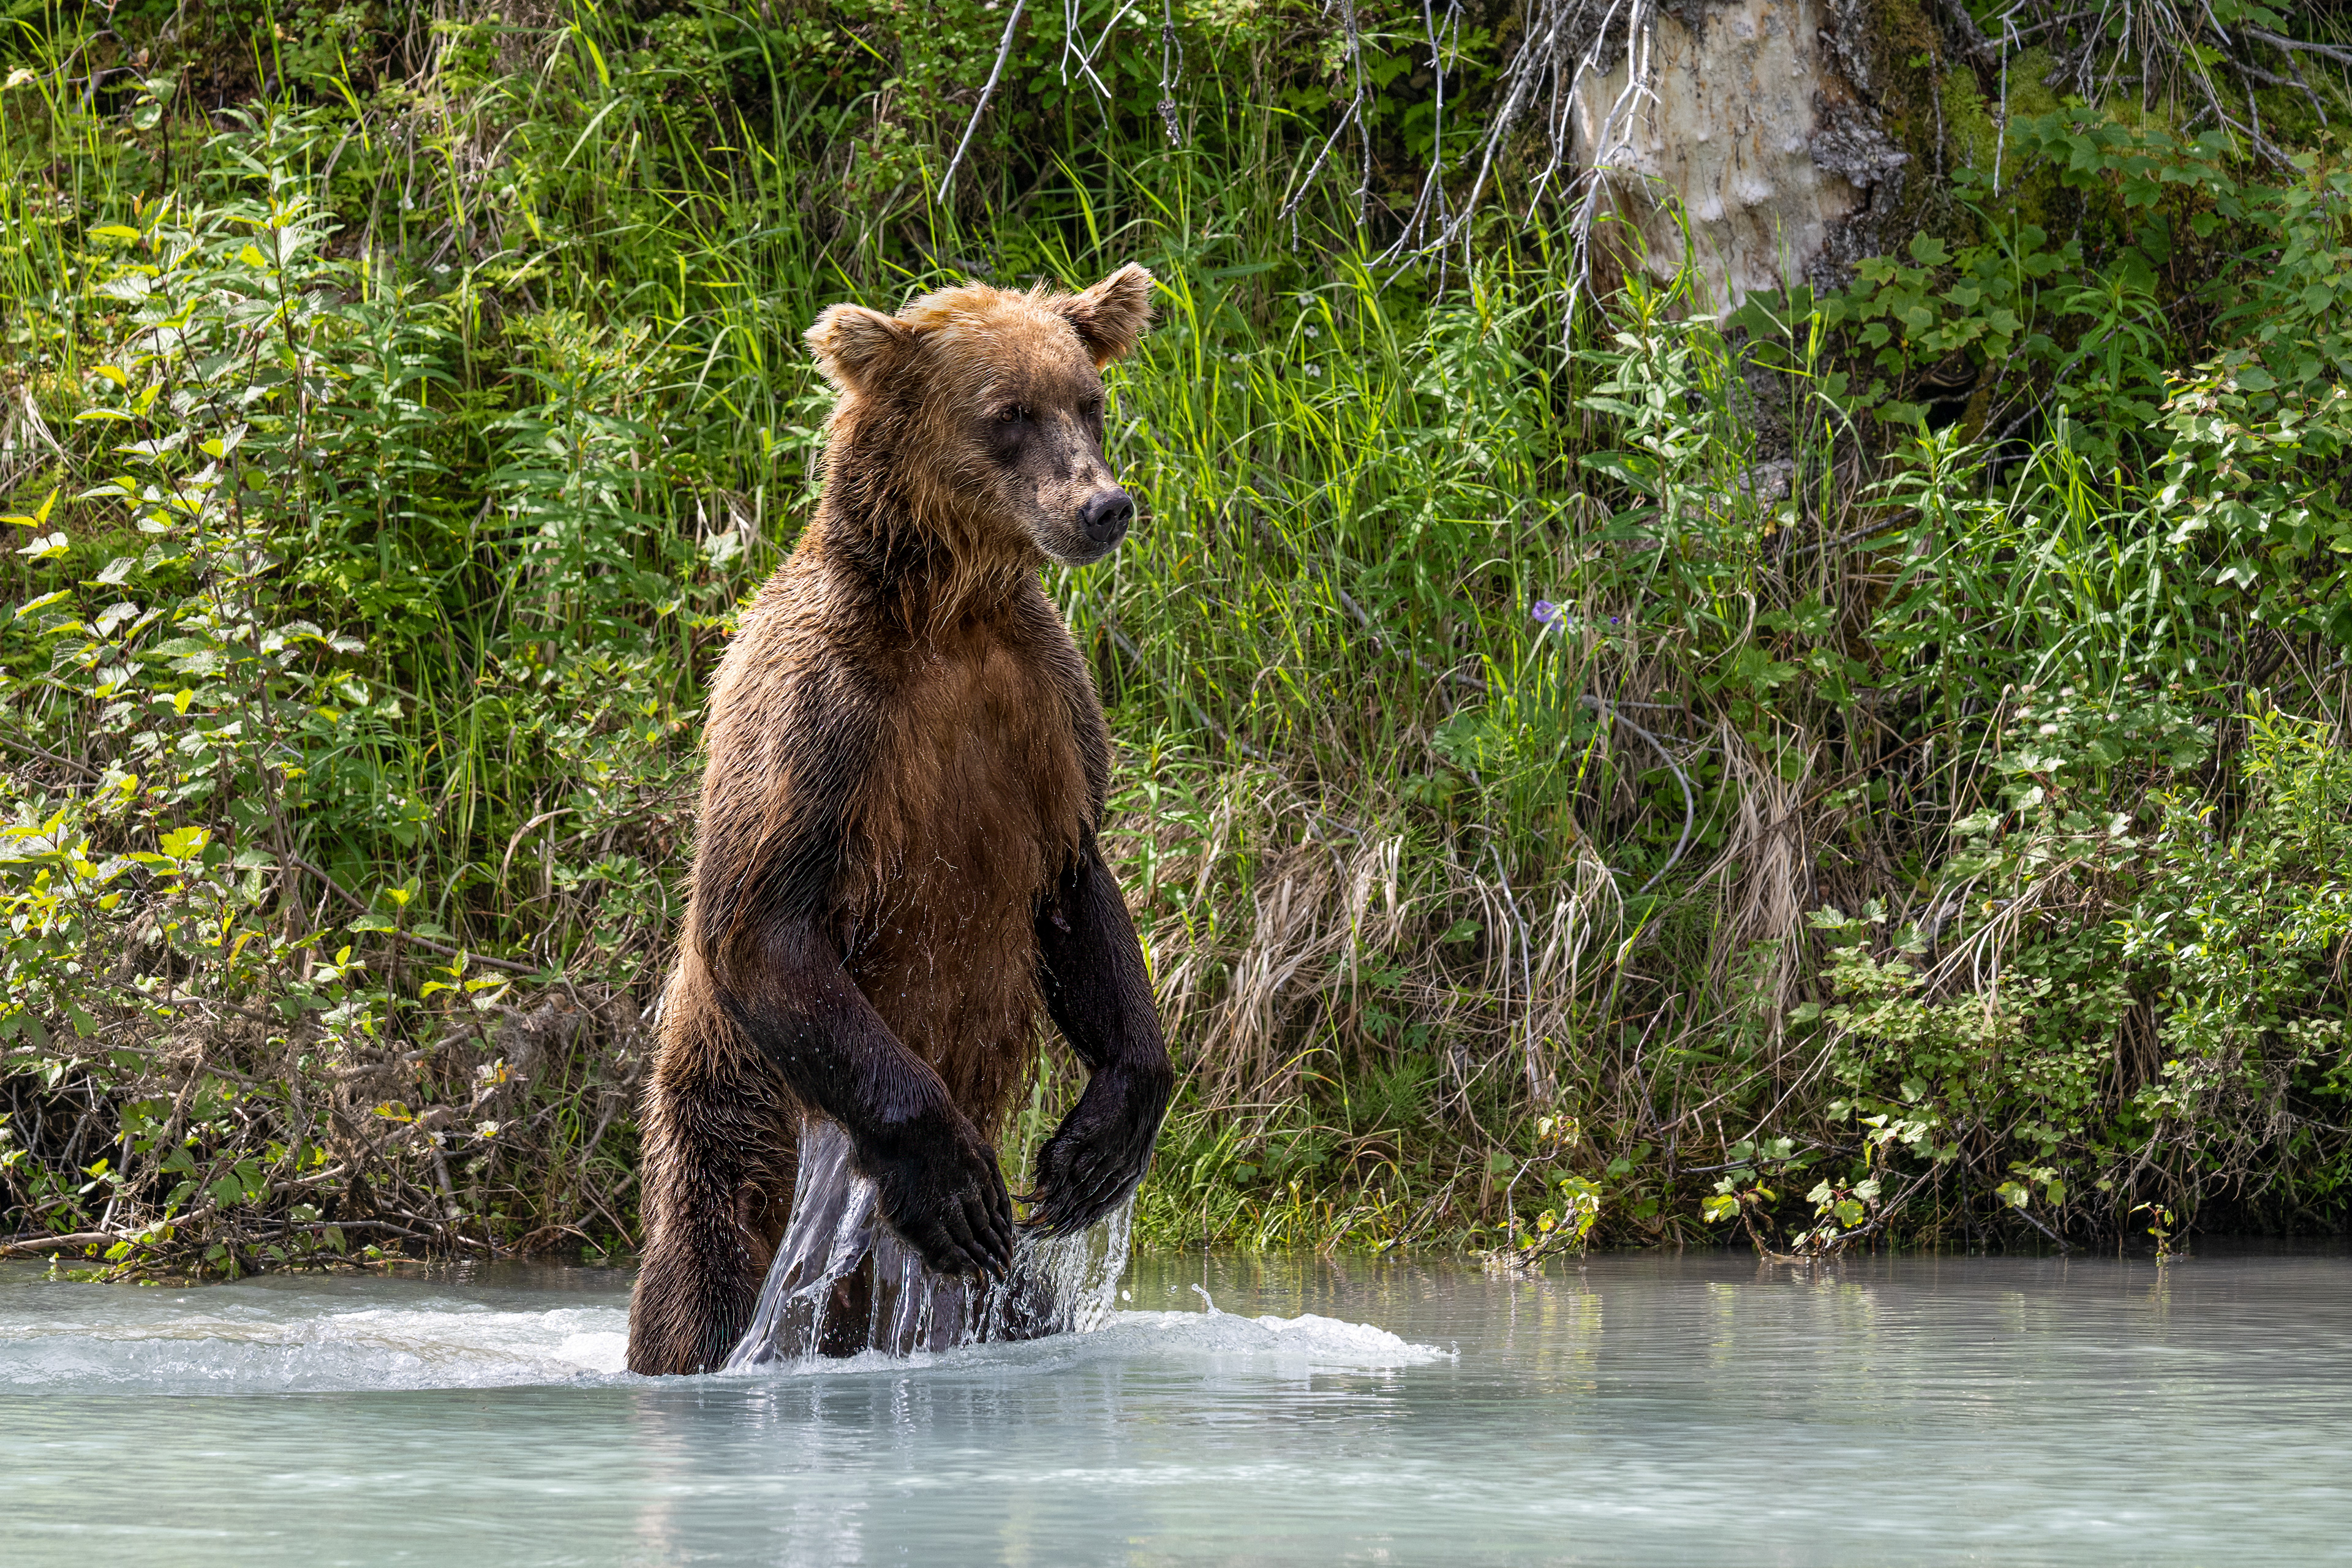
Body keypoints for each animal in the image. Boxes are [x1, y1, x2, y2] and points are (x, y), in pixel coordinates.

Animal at [625, 265, 1176, 1376]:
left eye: (1088, 400)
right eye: (1008, 414)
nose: (1103, 506)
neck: (950, 611)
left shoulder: (1049, 715)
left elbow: (1076, 886)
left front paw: (1096, 1149)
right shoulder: (821, 712)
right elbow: (760, 918)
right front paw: (951, 1178)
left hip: (988, 1296)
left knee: (1020, 1304)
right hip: (732, 1137)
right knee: (696, 1294)